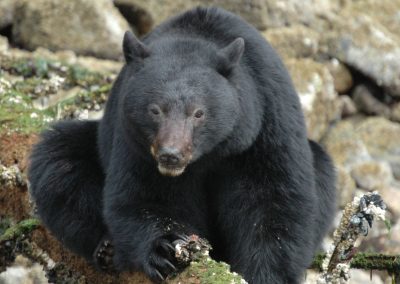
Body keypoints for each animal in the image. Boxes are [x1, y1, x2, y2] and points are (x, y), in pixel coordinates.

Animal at [28, 7, 336, 284]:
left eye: (198, 113)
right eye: (155, 110)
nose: (171, 155)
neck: (210, 155)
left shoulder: (263, 123)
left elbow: (272, 200)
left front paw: (265, 274)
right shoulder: (135, 142)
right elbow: (143, 196)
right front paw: (164, 249)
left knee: (321, 171)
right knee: (58, 163)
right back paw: (106, 248)